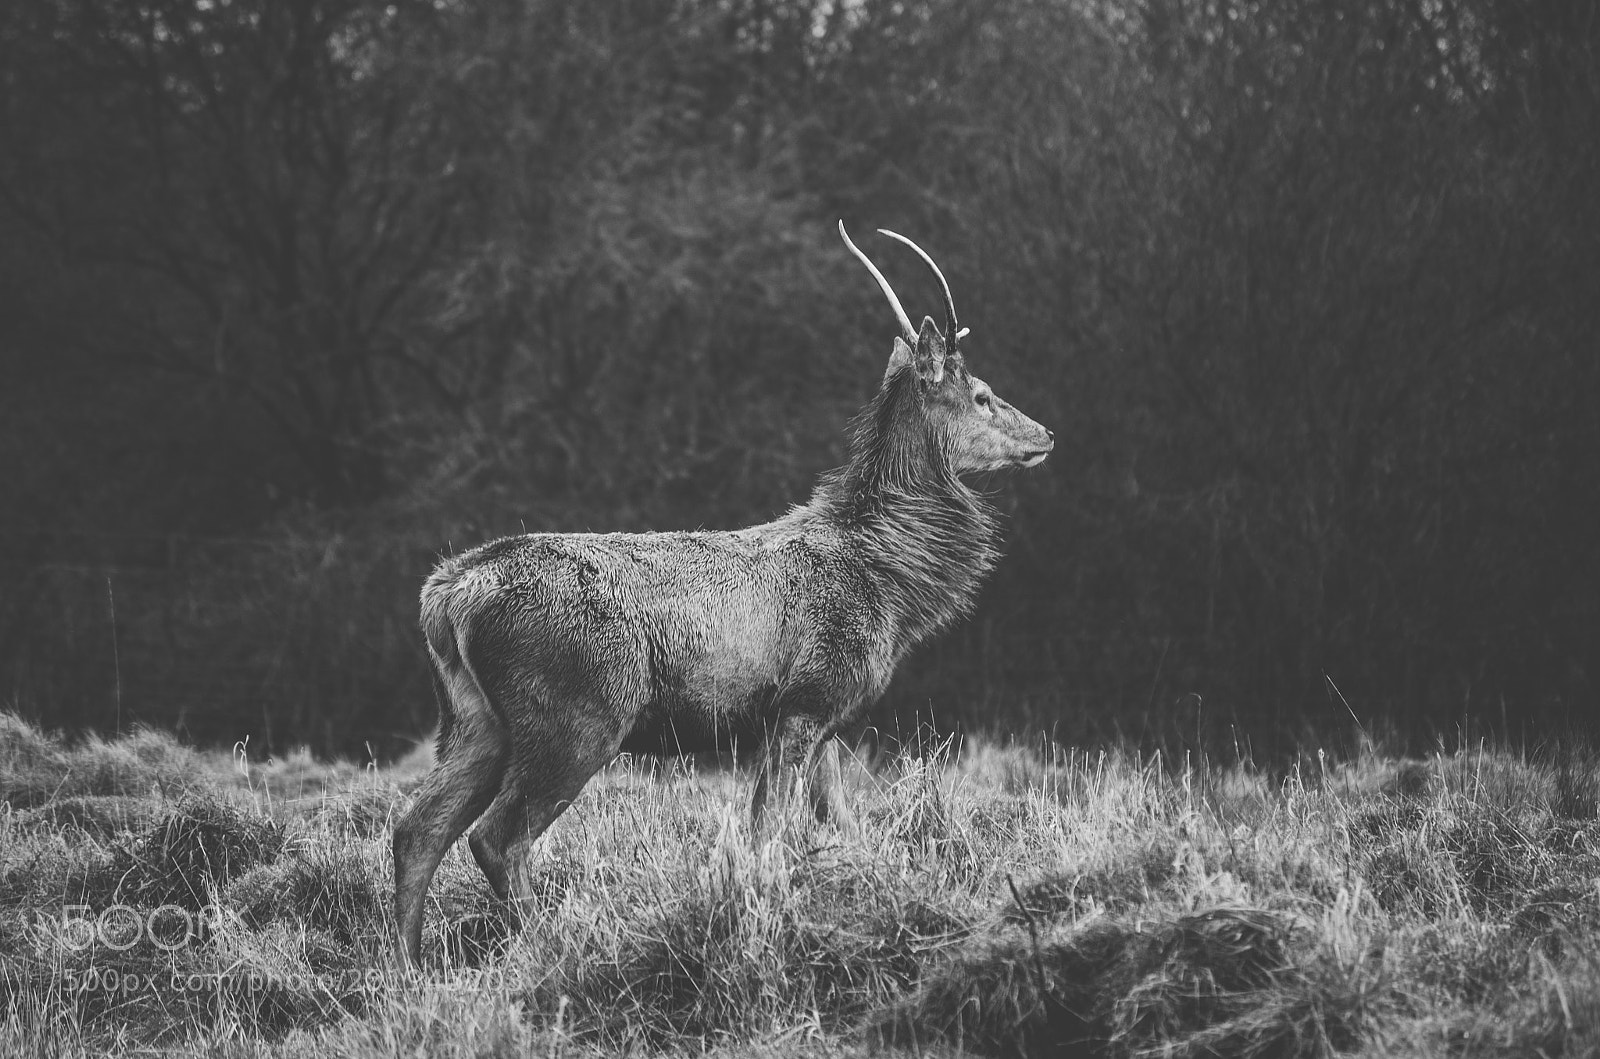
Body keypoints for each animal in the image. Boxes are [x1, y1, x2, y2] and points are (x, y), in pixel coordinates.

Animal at [393, 221, 1054, 966]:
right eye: (983, 394)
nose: (1046, 433)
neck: (890, 583)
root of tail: (448, 596)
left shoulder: (823, 720)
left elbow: (836, 823)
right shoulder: (805, 699)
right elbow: (768, 833)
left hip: (473, 720)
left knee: (417, 828)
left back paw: (407, 968)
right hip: (576, 711)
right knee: (495, 836)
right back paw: (547, 947)